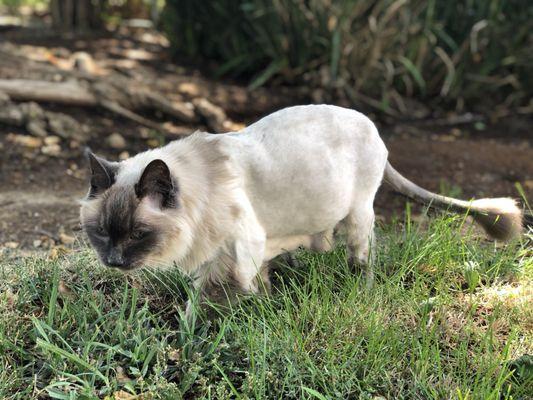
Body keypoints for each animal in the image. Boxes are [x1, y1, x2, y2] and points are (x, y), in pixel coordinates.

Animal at [78, 105, 520, 316]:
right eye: (101, 232)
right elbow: (257, 288)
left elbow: (202, 307)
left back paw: (362, 295)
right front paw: (267, 308)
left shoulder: (233, 259)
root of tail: (371, 125)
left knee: (364, 261)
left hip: (358, 218)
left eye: (138, 234)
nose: (114, 261)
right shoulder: (231, 258)